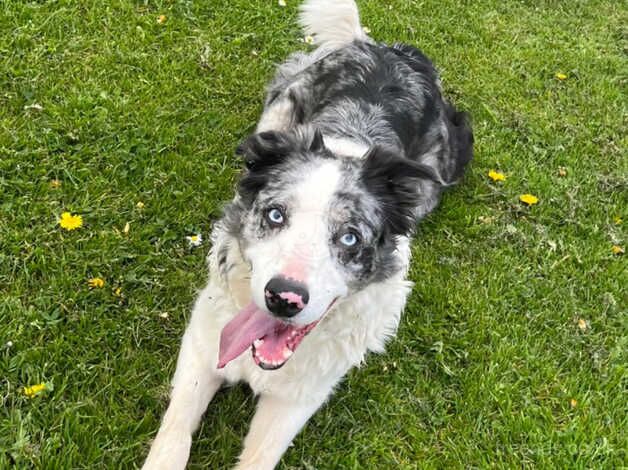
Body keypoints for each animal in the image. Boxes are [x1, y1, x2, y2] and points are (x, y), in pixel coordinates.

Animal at [144, 1, 472, 468]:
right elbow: (175, 431)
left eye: (350, 238)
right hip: (279, 109)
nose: (283, 298)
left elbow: (259, 455)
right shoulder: (203, 341)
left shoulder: (299, 396)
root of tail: (380, 48)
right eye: (275, 214)